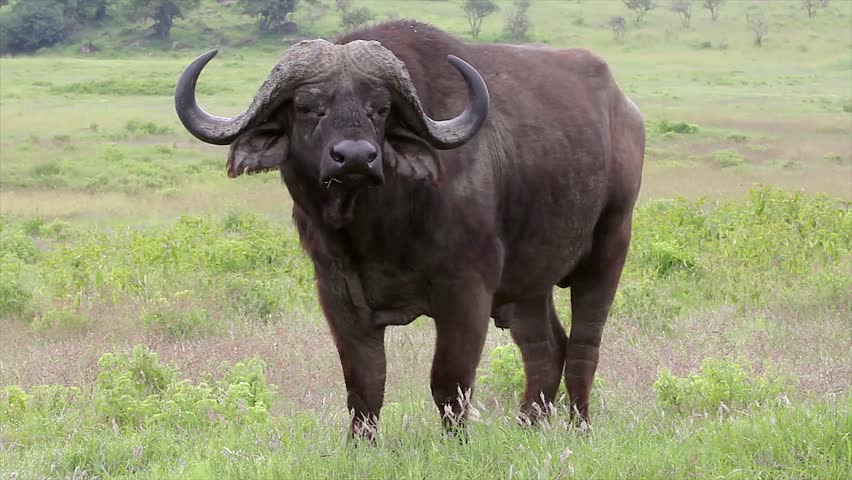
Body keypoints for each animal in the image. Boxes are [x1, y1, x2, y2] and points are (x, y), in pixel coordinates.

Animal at [175, 20, 645, 440]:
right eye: (307, 106)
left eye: (380, 109)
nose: (355, 157)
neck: (375, 229)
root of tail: (625, 110)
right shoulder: (338, 295)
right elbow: (364, 387)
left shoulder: (466, 292)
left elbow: (449, 384)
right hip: (530, 283)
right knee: (545, 348)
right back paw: (528, 429)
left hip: (609, 248)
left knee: (584, 347)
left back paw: (579, 428)